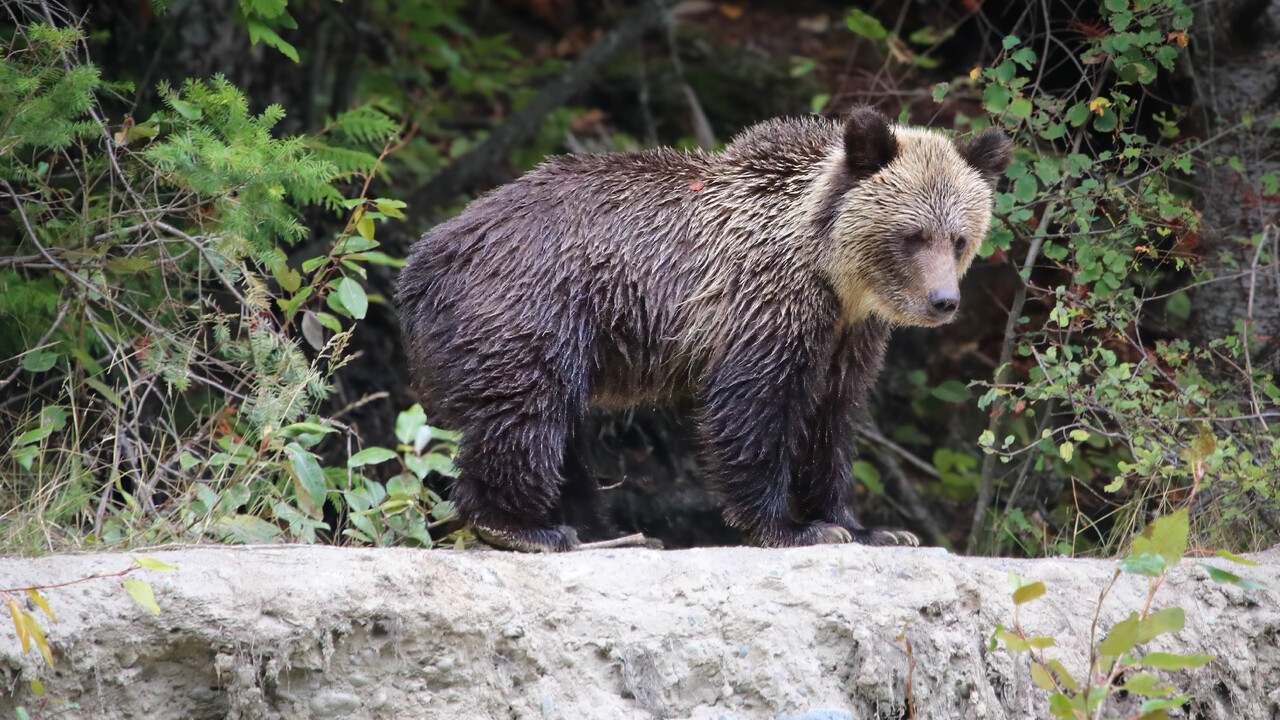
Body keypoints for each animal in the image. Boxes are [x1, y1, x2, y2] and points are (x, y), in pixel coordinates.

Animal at [396, 107, 1013, 552]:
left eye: (959, 237)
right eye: (913, 234)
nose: (943, 301)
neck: (834, 273)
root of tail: (423, 262)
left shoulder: (849, 335)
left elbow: (832, 419)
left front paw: (870, 527)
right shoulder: (767, 302)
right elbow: (754, 405)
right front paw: (792, 528)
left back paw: (592, 527)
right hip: (535, 307)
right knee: (526, 410)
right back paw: (525, 527)